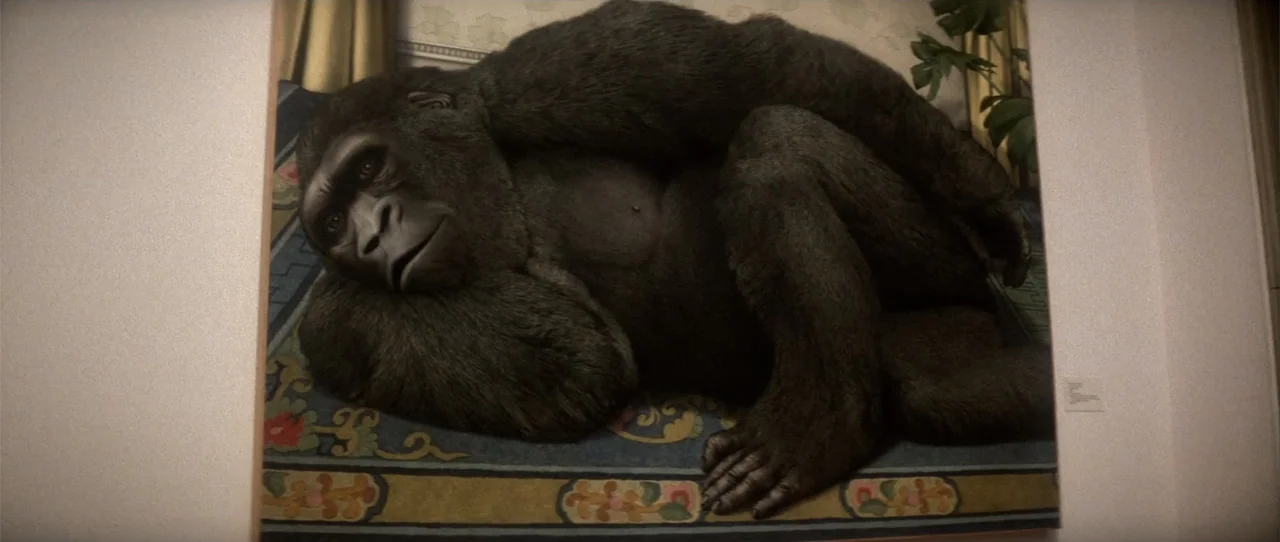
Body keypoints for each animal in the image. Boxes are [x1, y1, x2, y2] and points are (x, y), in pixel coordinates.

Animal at [293, 60, 1055, 518]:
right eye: (332, 221)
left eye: (368, 169)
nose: (369, 235)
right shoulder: (340, 328)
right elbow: (578, 368)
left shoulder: (542, 82)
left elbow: (759, 68)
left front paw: (989, 203)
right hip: (935, 338)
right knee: (952, 385)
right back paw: (837, 420)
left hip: (943, 265)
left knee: (776, 136)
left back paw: (819, 425)